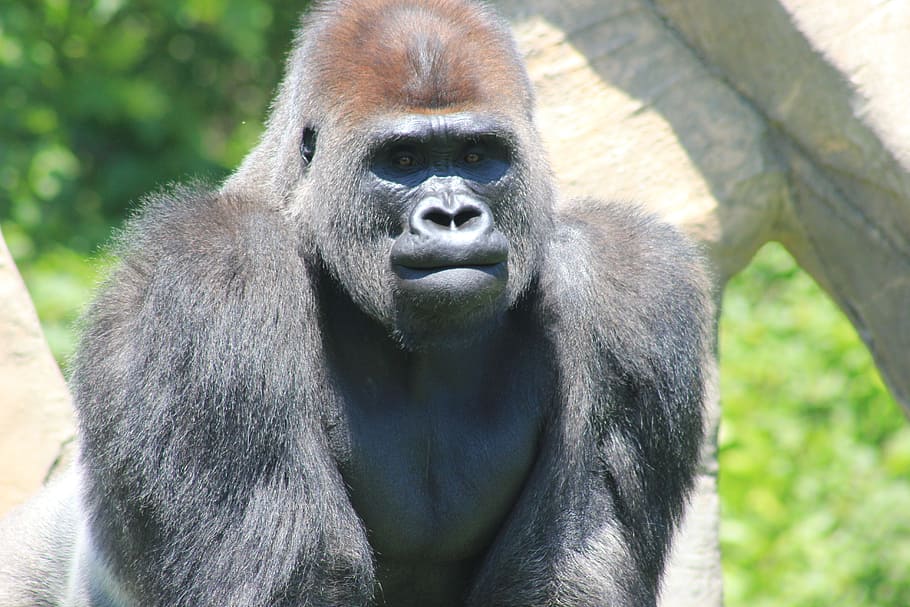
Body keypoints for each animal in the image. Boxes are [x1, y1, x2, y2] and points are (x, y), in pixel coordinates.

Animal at [0, 0, 713, 605]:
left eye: (477, 154)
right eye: (402, 160)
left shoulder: (629, 288)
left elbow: (568, 574)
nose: (452, 216)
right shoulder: (214, 278)